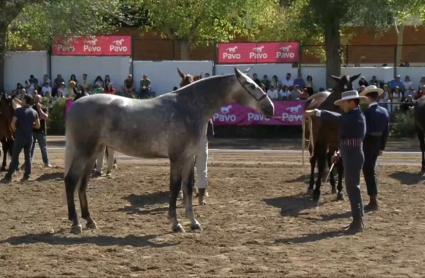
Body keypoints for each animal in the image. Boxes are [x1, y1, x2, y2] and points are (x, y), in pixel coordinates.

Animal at [63, 68, 274, 233]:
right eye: (252, 86)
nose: (270, 108)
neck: (188, 108)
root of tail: (76, 105)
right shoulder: (177, 158)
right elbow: (175, 187)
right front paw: (175, 223)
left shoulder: (189, 158)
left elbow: (188, 188)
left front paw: (194, 222)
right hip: (83, 152)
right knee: (71, 181)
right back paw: (76, 224)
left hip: (93, 153)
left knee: (82, 185)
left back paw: (89, 221)